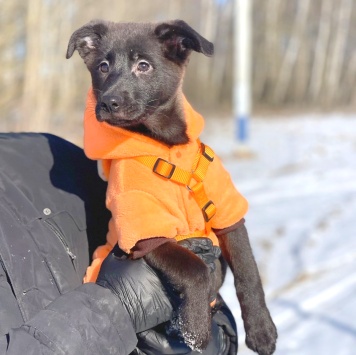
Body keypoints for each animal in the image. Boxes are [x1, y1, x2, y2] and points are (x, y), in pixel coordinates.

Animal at [67, 20, 278, 355]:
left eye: (143, 65)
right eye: (103, 66)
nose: (107, 103)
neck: (166, 146)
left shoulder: (229, 216)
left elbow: (248, 273)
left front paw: (262, 330)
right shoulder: (147, 233)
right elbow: (195, 269)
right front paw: (195, 328)